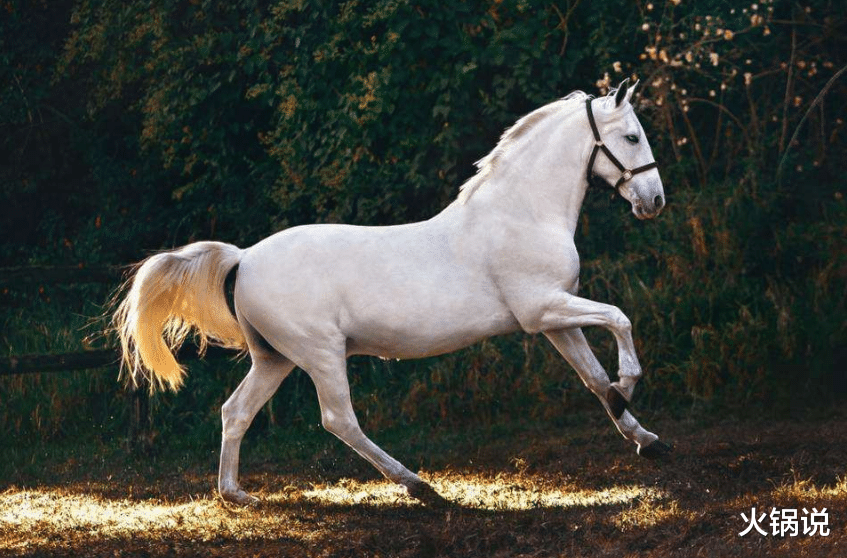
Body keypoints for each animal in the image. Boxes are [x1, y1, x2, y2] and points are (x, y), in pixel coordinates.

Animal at [114, 80, 668, 508]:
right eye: (632, 136)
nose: (655, 201)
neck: (522, 214)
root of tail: (244, 257)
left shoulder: (556, 319)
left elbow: (593, 379)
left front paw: (644, 437)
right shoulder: (543, 310)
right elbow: (619, 319)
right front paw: (629, 384)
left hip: (275, 358)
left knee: (236, 411)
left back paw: (236, 494)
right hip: (320, 353)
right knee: (339, 419)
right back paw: (419, 486)